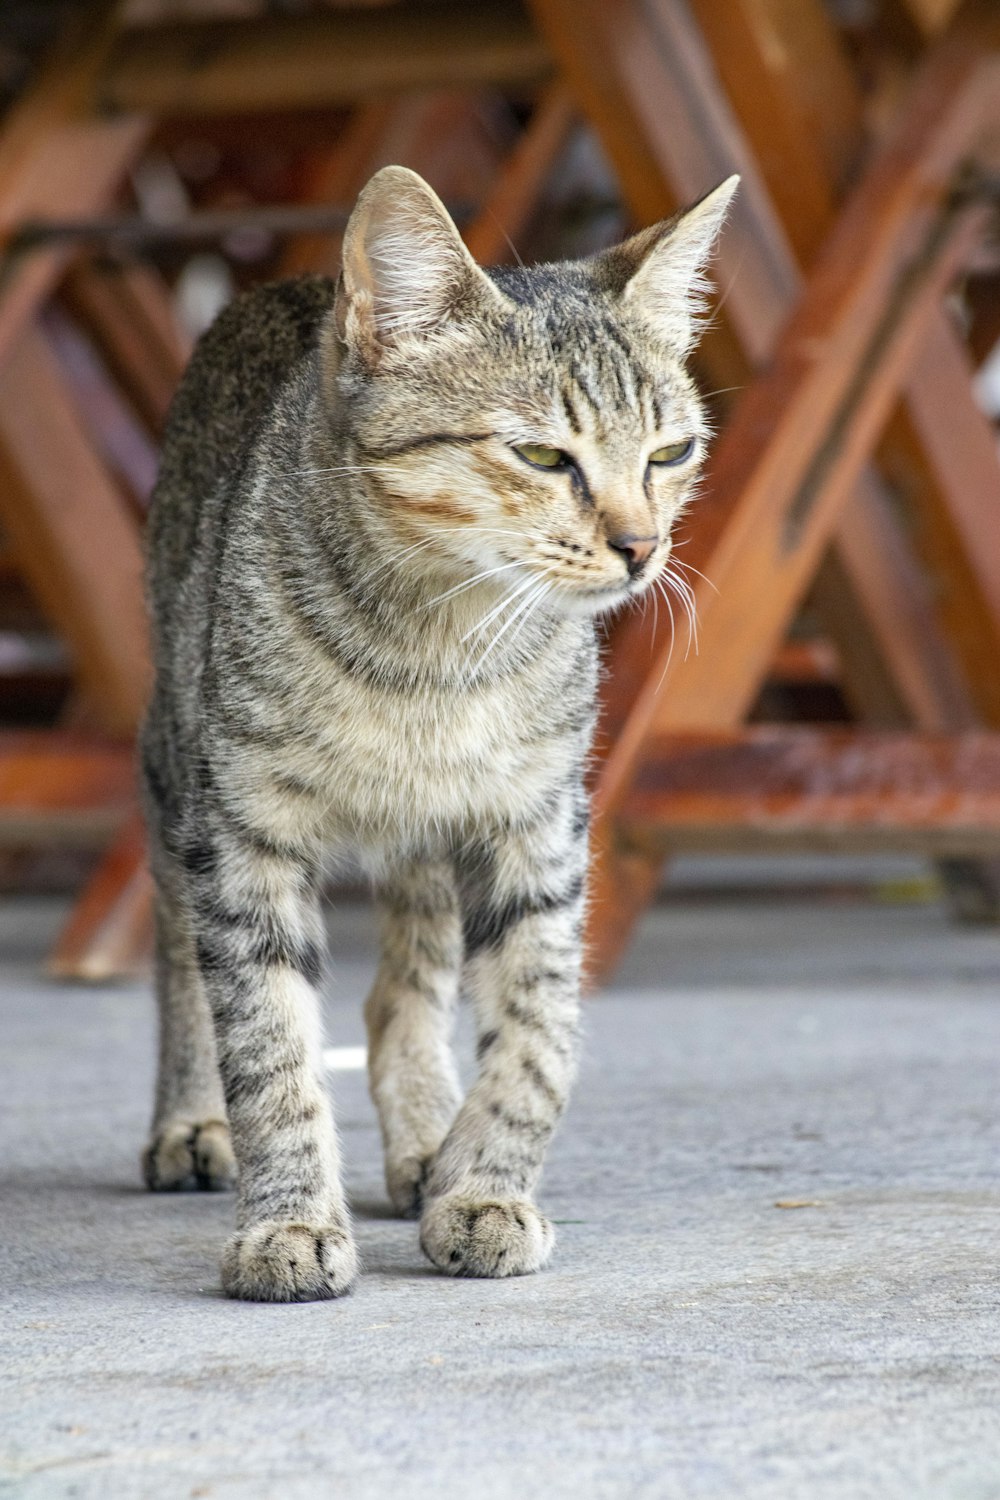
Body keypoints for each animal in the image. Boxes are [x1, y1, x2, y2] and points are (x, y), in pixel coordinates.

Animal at [138, 161, 734, 1290]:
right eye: (542, 455)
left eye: (670, 451)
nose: (642, 546)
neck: (433, 655)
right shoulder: (242, 831)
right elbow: (269, 1041)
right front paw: (286, 1220)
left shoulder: (537, 824)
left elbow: (537, 1028)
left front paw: (484, 1187)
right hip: (171, 755)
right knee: (179, 958)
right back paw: (190, 1122)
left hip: (426, 836)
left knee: (404, 986)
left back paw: (425, 1139)